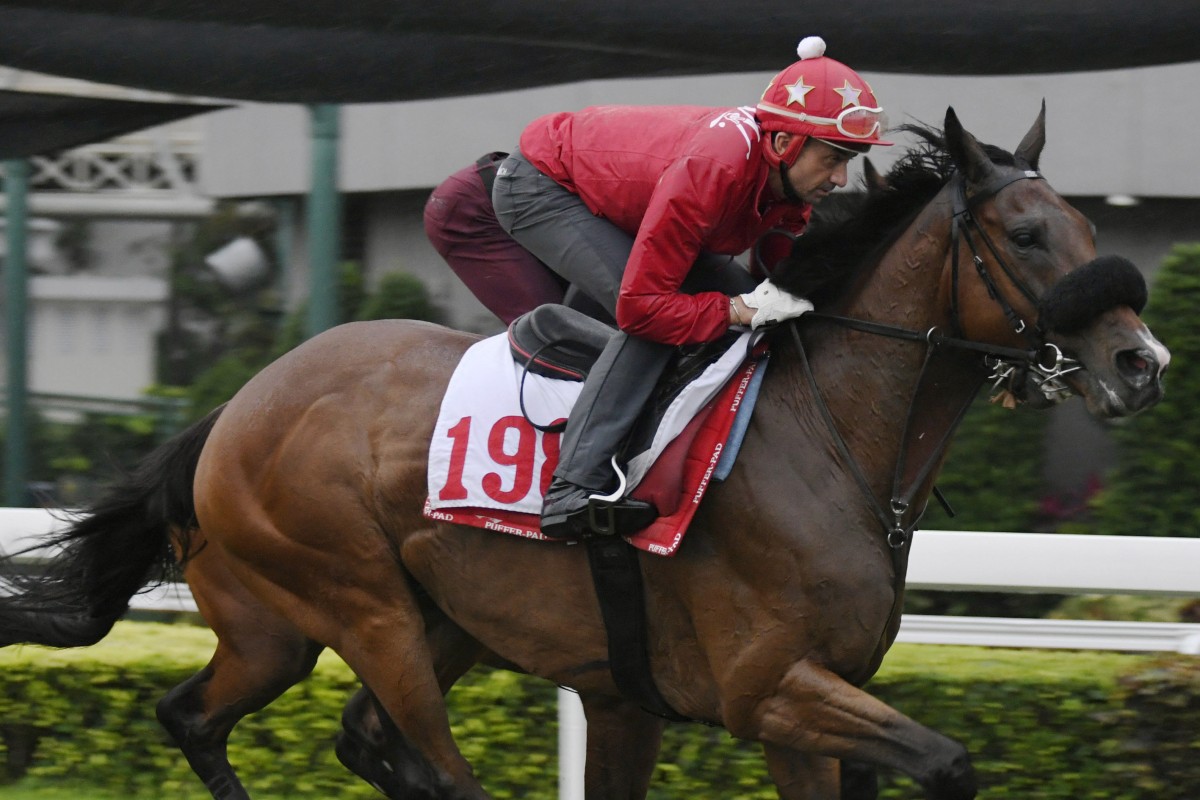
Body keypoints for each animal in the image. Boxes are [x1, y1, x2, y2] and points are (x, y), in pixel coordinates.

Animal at [0, 107, 1161, 800]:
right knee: (421, 760)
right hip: (360, 606)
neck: (827, 441)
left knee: (214, 717)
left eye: (1087, 228)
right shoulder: (770, 690)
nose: (1142, 362)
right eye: (1025, 236)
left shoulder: (689, 698)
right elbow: (952, 759)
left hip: (338, 625)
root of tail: (234, 410)